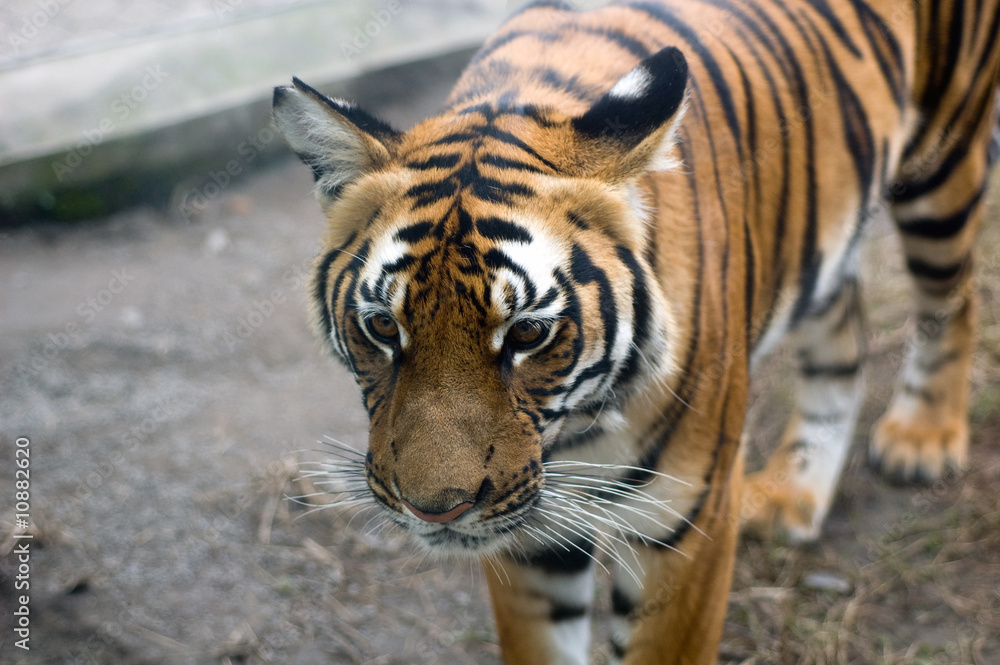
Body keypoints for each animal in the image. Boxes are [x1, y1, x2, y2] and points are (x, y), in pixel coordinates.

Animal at [272, 0, 1000, 662]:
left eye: (527, 335)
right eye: (380, 326)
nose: (435, 511)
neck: (575, 428)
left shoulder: (681, 525)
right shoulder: (532, 535)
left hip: (941, 170)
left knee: (953, 298)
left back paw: (921, 437)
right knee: (843, 329)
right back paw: (794, 492)